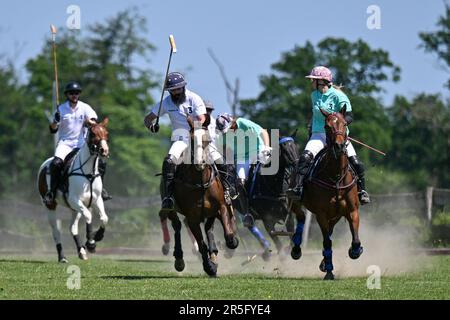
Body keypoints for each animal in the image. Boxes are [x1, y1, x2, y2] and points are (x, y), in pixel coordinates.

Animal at [37, 119, 110, 262]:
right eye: (92, 133)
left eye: (106, 133)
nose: (104, 150)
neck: (88, 173)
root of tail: (45, 164)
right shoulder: (74, 199)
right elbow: (88, 216)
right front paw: (91, 243)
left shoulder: (96, 200)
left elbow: (104, 217)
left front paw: (97, 236)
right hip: (50, 205)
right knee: (56, 231)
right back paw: (62, 257)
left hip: (74, 209)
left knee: (73, 228)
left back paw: (81, 251)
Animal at [162, 126, 239, 276]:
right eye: (191, 140)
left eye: (207, 140)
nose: (200, 162)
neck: (201, 182)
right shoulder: (192, 218)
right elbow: (201, 245)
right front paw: (209, 267)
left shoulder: (221, 206)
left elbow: (229, 236)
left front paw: (232, 241)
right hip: (171, 209)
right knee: (177, 226)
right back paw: (179, 259)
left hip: (212, 212)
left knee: (209, 228)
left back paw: (214, 253)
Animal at [290, 107, 364, 280]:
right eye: (326, 126)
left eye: (345, 124)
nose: (339, 146)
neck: (336, 176)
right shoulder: (321, 214)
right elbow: (327, 242)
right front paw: (330, 271)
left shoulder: (352, 211)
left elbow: (355, 239)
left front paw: (354, 251)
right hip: (296, 202)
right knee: (301, 218)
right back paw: (297, 249)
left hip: (335, 215)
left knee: (329, 231)